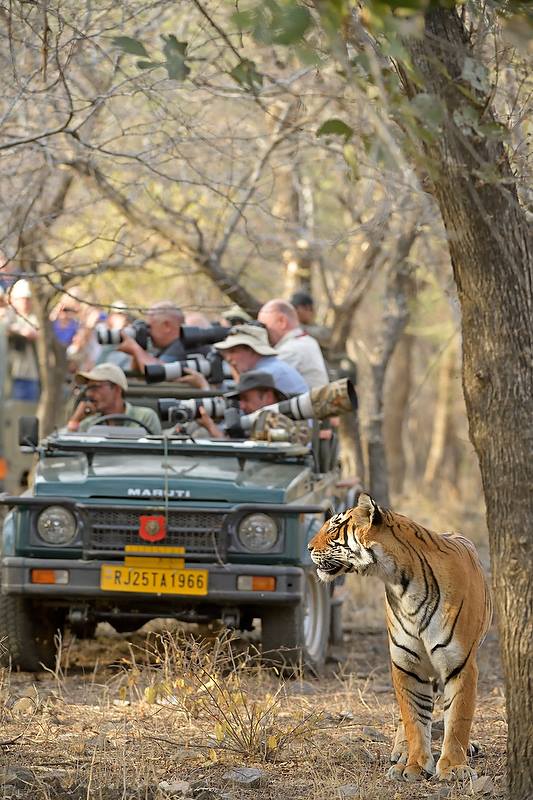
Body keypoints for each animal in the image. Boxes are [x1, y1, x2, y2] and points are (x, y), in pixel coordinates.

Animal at [308, 492, 492, 783]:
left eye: (334, 528)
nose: (307, 547)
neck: (402, 583)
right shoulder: (407, 664)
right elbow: (414, 717)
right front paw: (414, 765)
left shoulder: (460, 663)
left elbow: (458, 717)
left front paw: (453, 767)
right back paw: (401, 753)